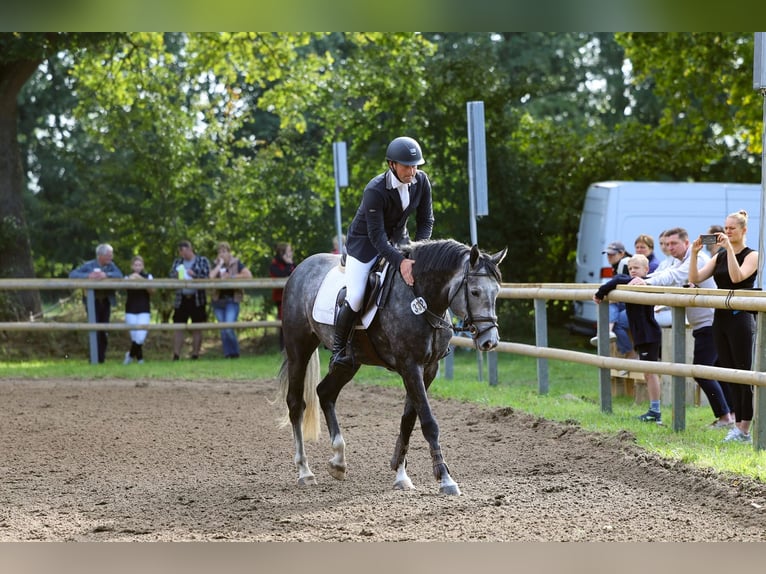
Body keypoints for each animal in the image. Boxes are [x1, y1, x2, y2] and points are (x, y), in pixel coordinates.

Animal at [277, 238, 507, 495]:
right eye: (475, 292)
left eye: (496, 292)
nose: (490, 341)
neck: (421, 299)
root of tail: (301, 267)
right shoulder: (410, 365)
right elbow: (428, 422)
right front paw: (445, 478)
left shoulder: (428, 369)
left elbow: (408, 420)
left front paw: (400, 473)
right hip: (299, 350)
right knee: (296, 403)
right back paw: (304, 471)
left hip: (350, 362)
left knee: (325, 392)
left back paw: (338, 461)